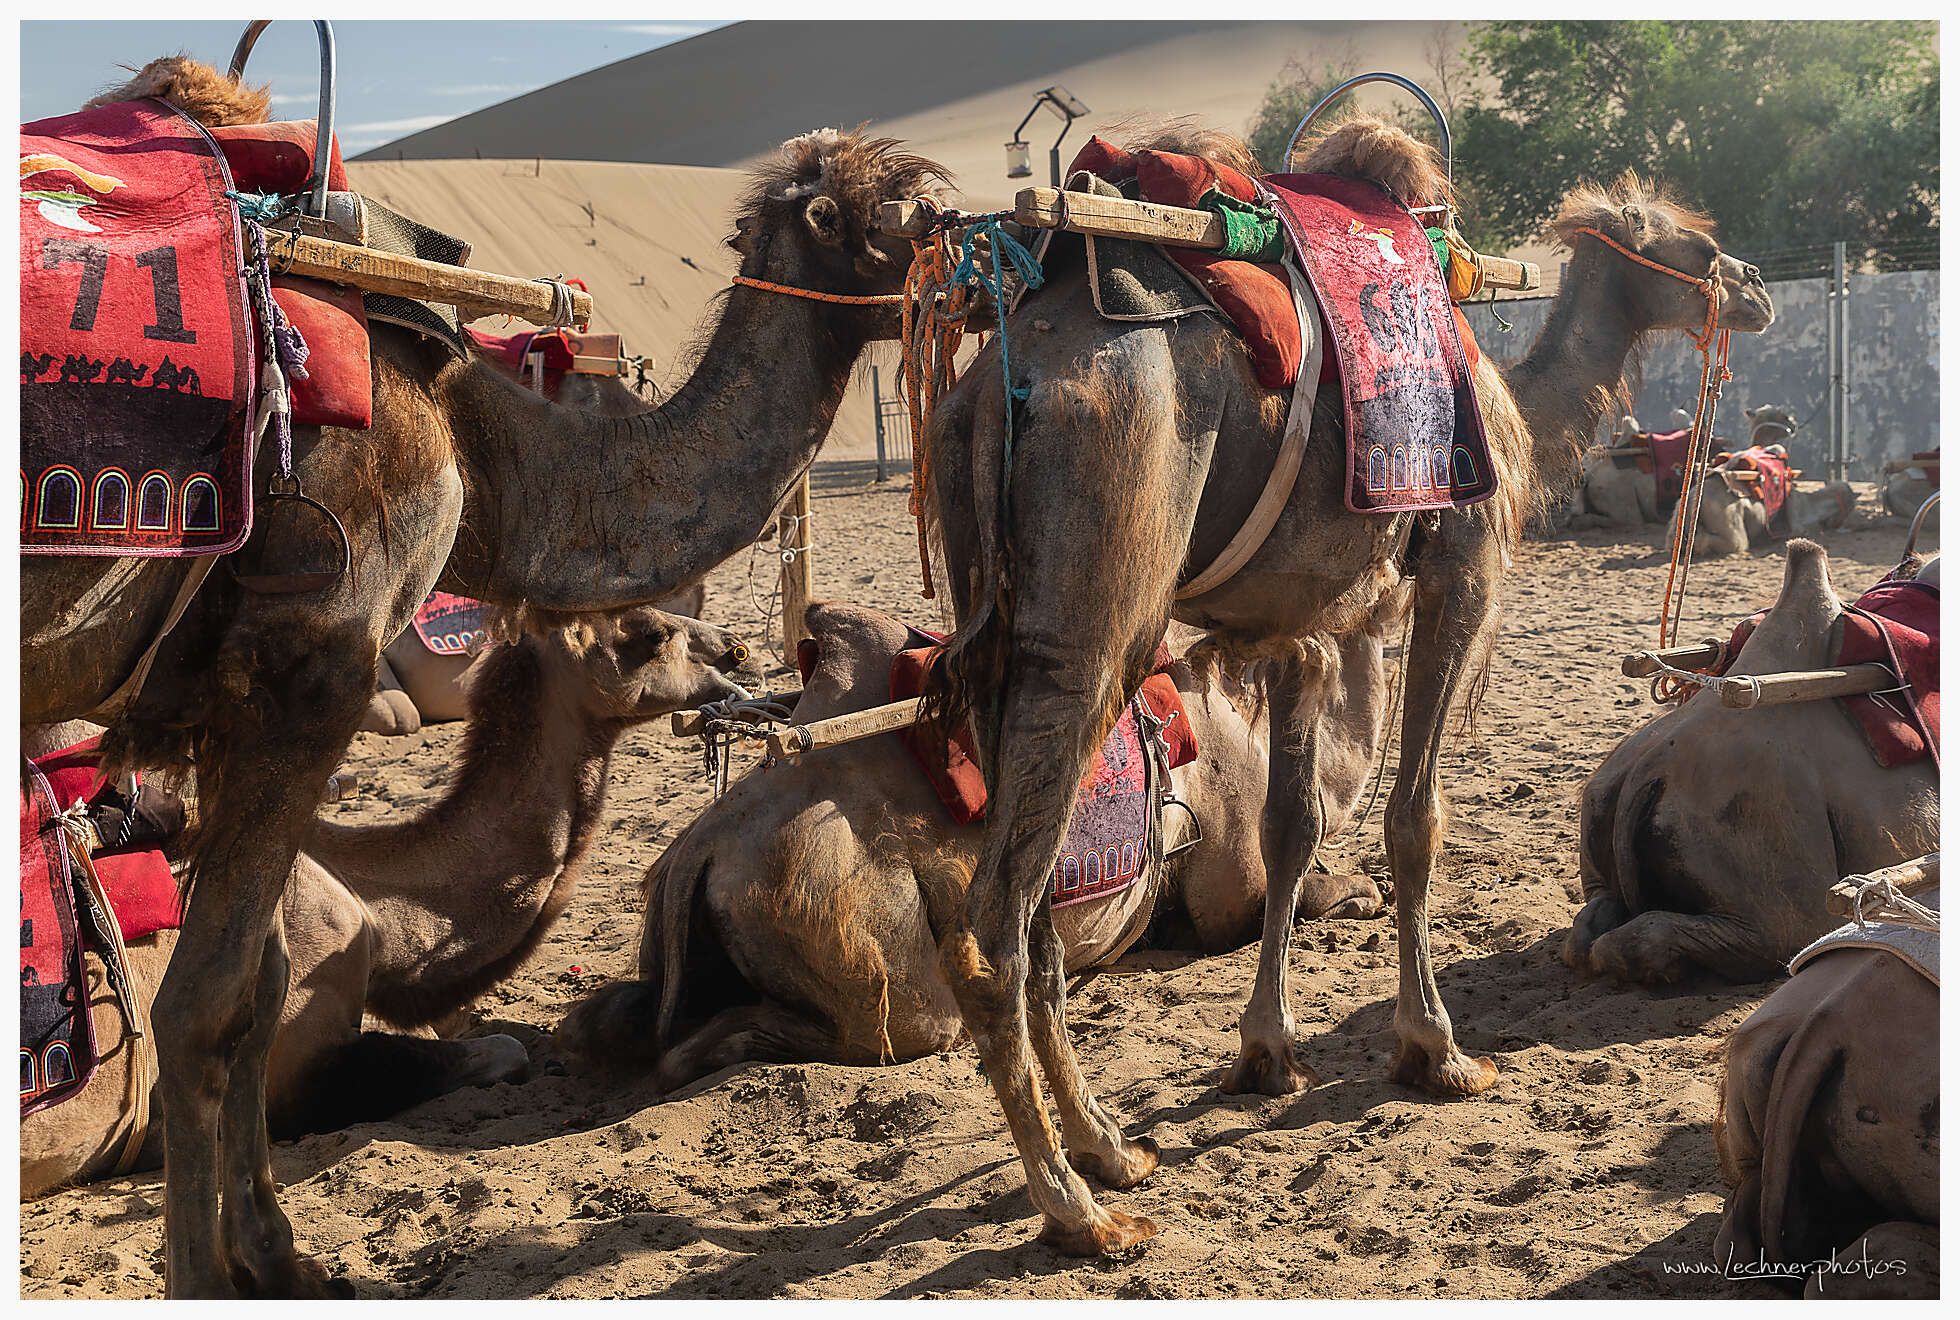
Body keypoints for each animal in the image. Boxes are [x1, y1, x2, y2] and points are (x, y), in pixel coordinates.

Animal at [557, 592, 1404, 1087]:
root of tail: (698, 855)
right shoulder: (1227, 892)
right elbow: (1315, 893)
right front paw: (1370, 893)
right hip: (854, 927)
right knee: (883, 1028)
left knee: (618, 1016)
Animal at [916, 119, 1774, 1253]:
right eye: (1693, 244)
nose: (1755, 288)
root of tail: (995, 389)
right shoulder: (1462, 570)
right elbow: (1415, 817)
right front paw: (1435, 1048)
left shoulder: (1299, 632)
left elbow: (1290, 826)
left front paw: (1265, 1051)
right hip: (1096, 620)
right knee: (992, 925)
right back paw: (1077, 1207)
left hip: (989, 623)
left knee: (1036, 907)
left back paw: (1112, 1149)